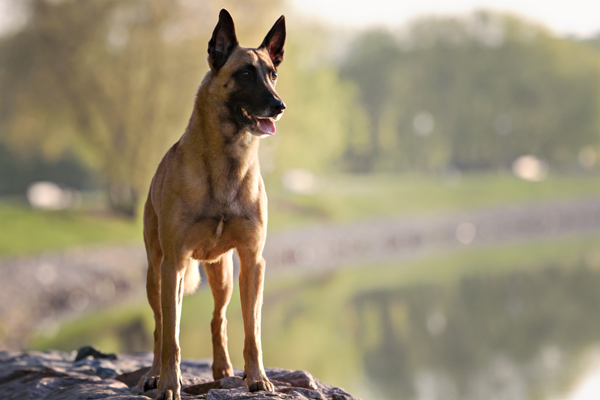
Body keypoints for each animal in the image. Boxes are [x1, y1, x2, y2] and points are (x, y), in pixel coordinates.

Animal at [142, 9, 288, 400]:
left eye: (272, 74)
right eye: (245, 74)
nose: (279, 105)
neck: (228, 160)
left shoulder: (253, 262)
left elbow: (252, 331)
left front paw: (257, 378)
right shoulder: (173, 264)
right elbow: (172, 339)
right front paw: (168, 385)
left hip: (222, 276)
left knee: (218, 318)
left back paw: (223, 368)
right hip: (156, 273)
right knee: (160, 326)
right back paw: (153, 374)